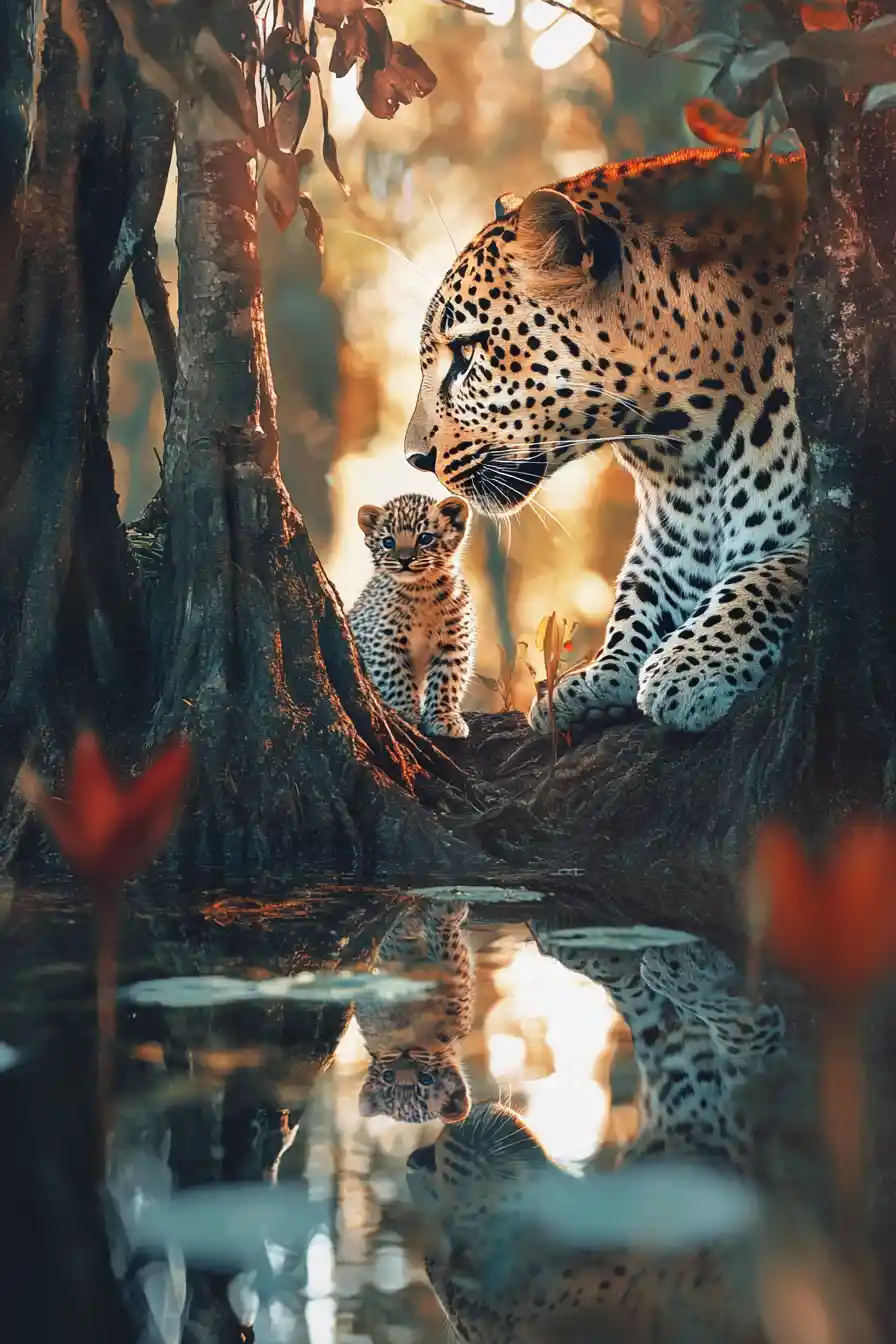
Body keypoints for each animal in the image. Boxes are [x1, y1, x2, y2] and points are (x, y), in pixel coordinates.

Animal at [348, 492, 475, 739]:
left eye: (425, 538)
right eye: (388, 541)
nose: (405, 560)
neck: (423, 589)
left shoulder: (454, 643)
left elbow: (447, 681)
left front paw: (445, 719)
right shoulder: (382, 641)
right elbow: (395, 679)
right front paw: (406, 714)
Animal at [354, 899, 474, 1124]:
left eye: (425, 1080)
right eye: (388, 1077)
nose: (405, 1053)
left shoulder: (458, 993)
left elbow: (445, 944)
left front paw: (445, 911)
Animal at [403, 146, 809, 736]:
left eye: (467, 351)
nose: (415, 457)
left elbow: (769, 574)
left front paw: (691, 668)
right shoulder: (667, 544)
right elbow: (634, 598)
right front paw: (595, 677)